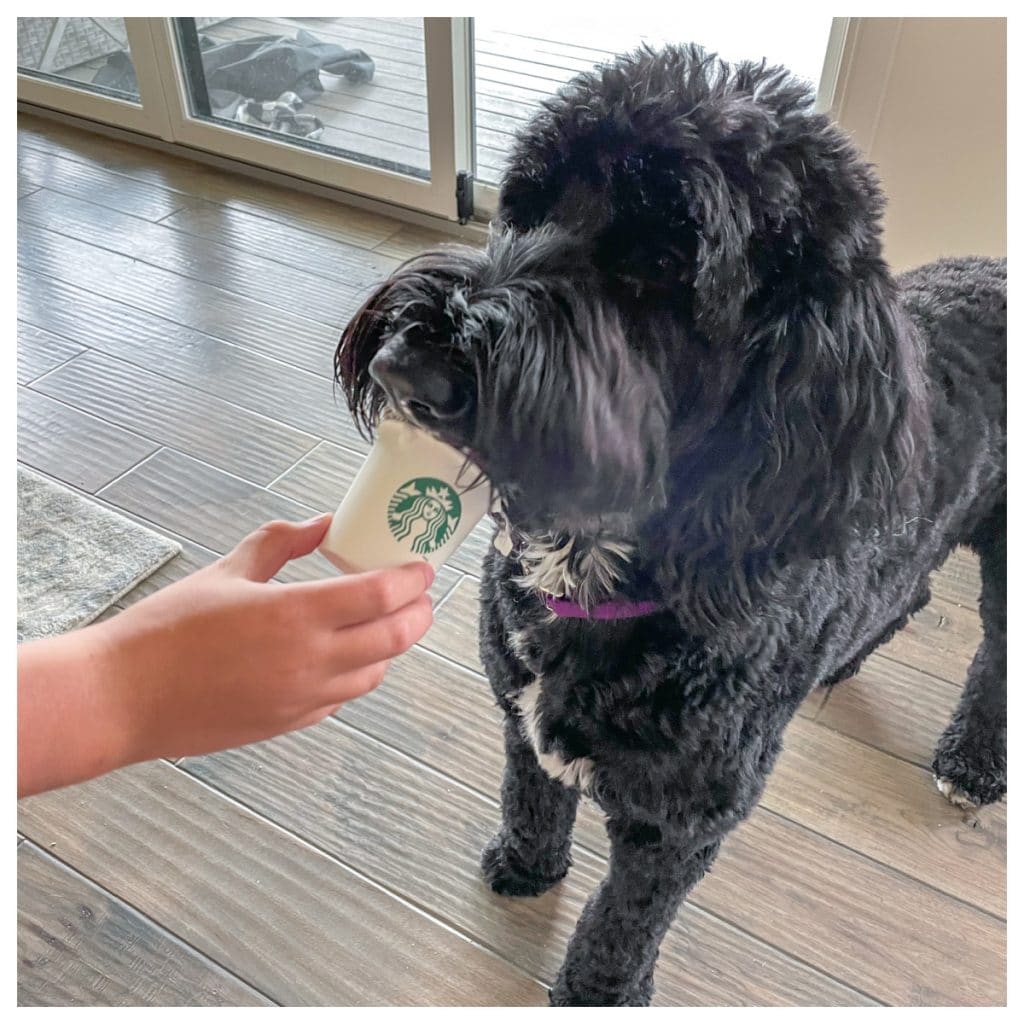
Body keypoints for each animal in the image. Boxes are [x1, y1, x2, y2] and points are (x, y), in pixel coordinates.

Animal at [333, 44, 999, 1003]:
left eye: (661, 259)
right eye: (526, 201)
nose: (405, 365)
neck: (597, 572)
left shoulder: (680, 823)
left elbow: (625, 920)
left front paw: (597, 992)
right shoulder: (521, 725)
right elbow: (532, 800)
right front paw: (527, 866)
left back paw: (972, 763)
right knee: (906, 592)